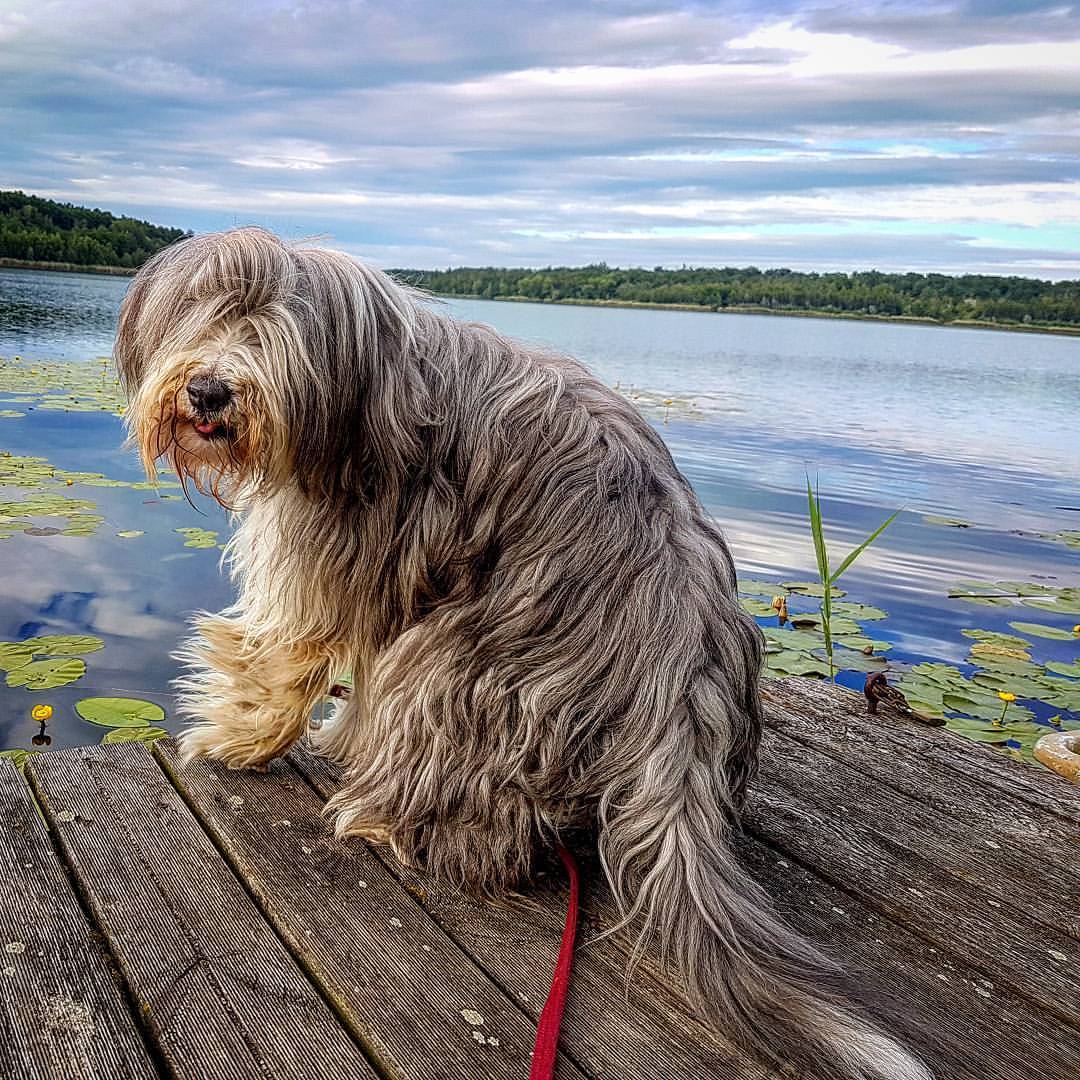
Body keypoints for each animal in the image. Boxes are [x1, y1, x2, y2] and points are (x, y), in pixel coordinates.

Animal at [116, 227, 928, 1080]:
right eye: (204, 314)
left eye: (274, 330)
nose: (209, 391)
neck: (364, 387)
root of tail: (683, 689)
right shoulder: (399, 579)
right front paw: (336, 735)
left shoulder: (333, 550)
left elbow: (281, 659)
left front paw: (234, 742)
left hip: (461, 661)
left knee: (483, 822)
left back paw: (390, 819)